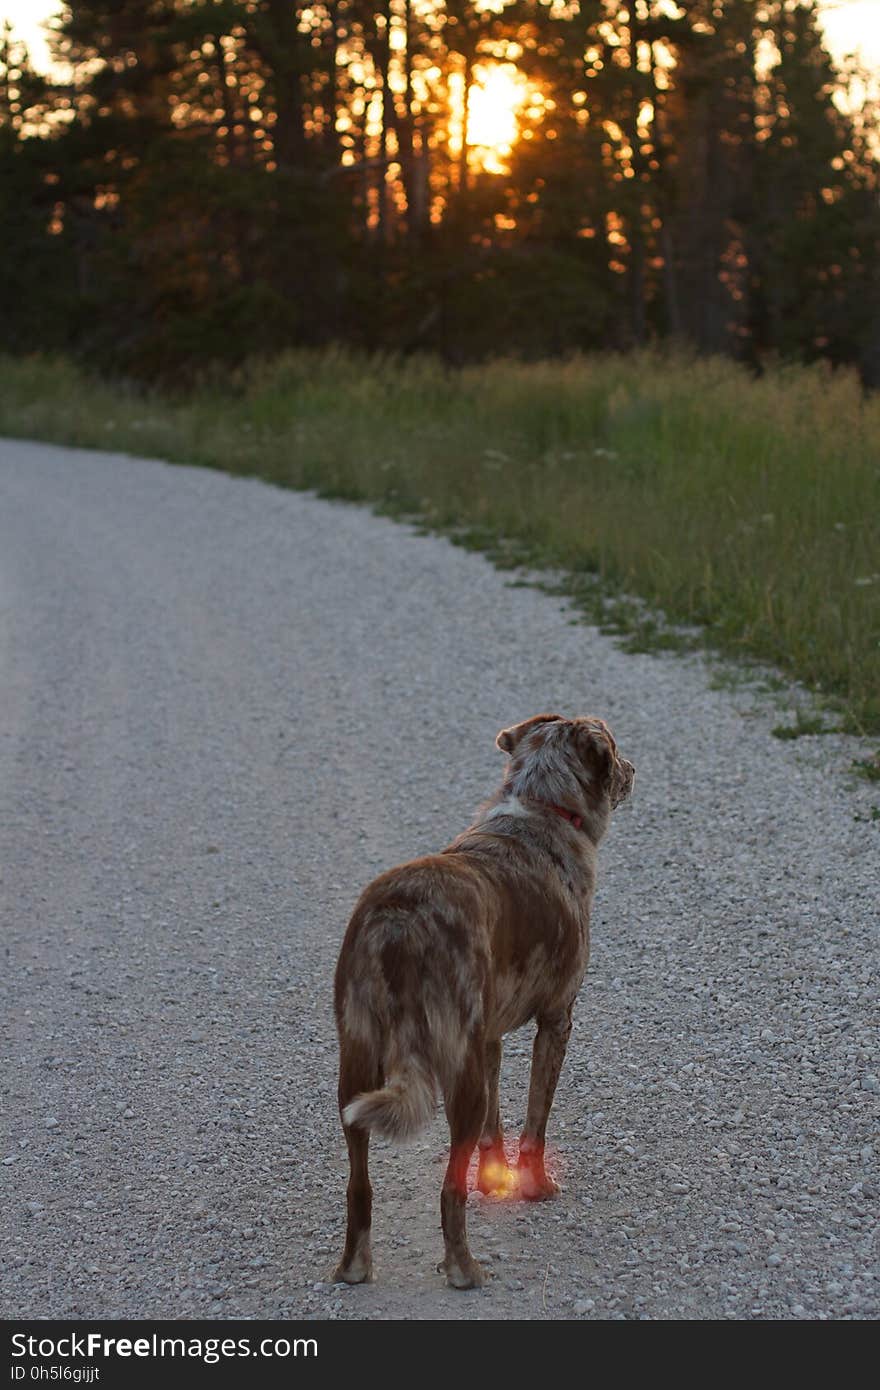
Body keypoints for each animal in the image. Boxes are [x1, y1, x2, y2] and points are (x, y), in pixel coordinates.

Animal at [330, 717, 631, 1289]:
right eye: (613, 742)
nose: (634, 769)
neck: (540, 805)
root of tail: (399, 921)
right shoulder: (556, 1021)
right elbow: (535, 1122)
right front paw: (534, 1186)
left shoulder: (489, 1035)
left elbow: (496, 1125)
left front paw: (495, 1179)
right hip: (454, 1069)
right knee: (450, 1188)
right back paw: (463, 1269)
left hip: (357, 1062)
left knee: (360, 1181)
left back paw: (355, 1266)